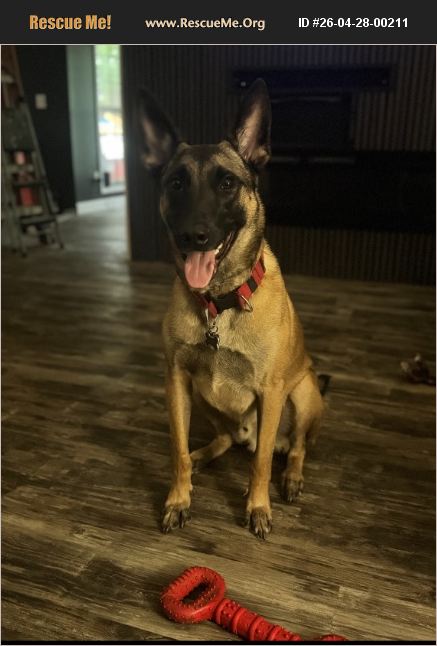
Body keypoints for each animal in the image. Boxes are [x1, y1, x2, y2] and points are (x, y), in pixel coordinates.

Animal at [139, 79, 324, 539]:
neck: (219, 304)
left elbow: (260, 465)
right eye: (176, 184)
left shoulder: (272, 392)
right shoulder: (176, 381)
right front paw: (179, 497)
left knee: (294, 447)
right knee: (223, 440)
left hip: (303, 394)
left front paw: (257, 507)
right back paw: (204, 456)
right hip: (202, 396)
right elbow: (177, 449)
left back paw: (291, 477)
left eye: (226, 184)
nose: (194, 236)